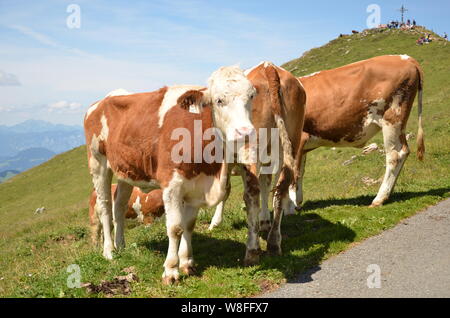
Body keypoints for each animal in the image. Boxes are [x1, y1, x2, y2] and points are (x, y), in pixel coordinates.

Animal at [83, 66, 256, 284]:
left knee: (119, 205)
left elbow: (189, 225)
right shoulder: (172, 185)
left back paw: (120, 245)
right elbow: (175, 228)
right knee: (105, 205)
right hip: (98, 162)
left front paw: (187, 263)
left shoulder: (195, 185)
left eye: (251, 96)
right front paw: (171, 270)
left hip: (126, 170)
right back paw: (109, 251)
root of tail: (103, 100)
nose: (246, 132)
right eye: (219, 100)